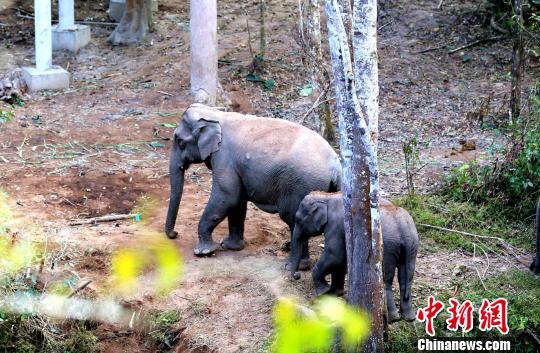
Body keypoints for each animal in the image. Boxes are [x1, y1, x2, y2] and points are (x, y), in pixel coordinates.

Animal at [165, 104, 342, 266]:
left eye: (180, 141)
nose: (175, 233)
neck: (215, 114)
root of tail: (335, 166)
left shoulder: (224, 158)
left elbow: (227, 196)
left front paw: (202, 251)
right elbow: (237, 203)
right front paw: (230, 246)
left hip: (300, 185)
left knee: (292, 218)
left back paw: (298, 265)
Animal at [288, 191, 420, 320]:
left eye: (298, 220)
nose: (297, 275)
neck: (326, 196)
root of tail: (404, 228)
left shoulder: (335, 226)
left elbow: (334, 254)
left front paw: (323, 291)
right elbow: (340, 260)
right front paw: (335, 293)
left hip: (388, 246)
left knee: (386, 279)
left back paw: (393, 318)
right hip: (412, 245)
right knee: (406, 277)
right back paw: (409, 317)